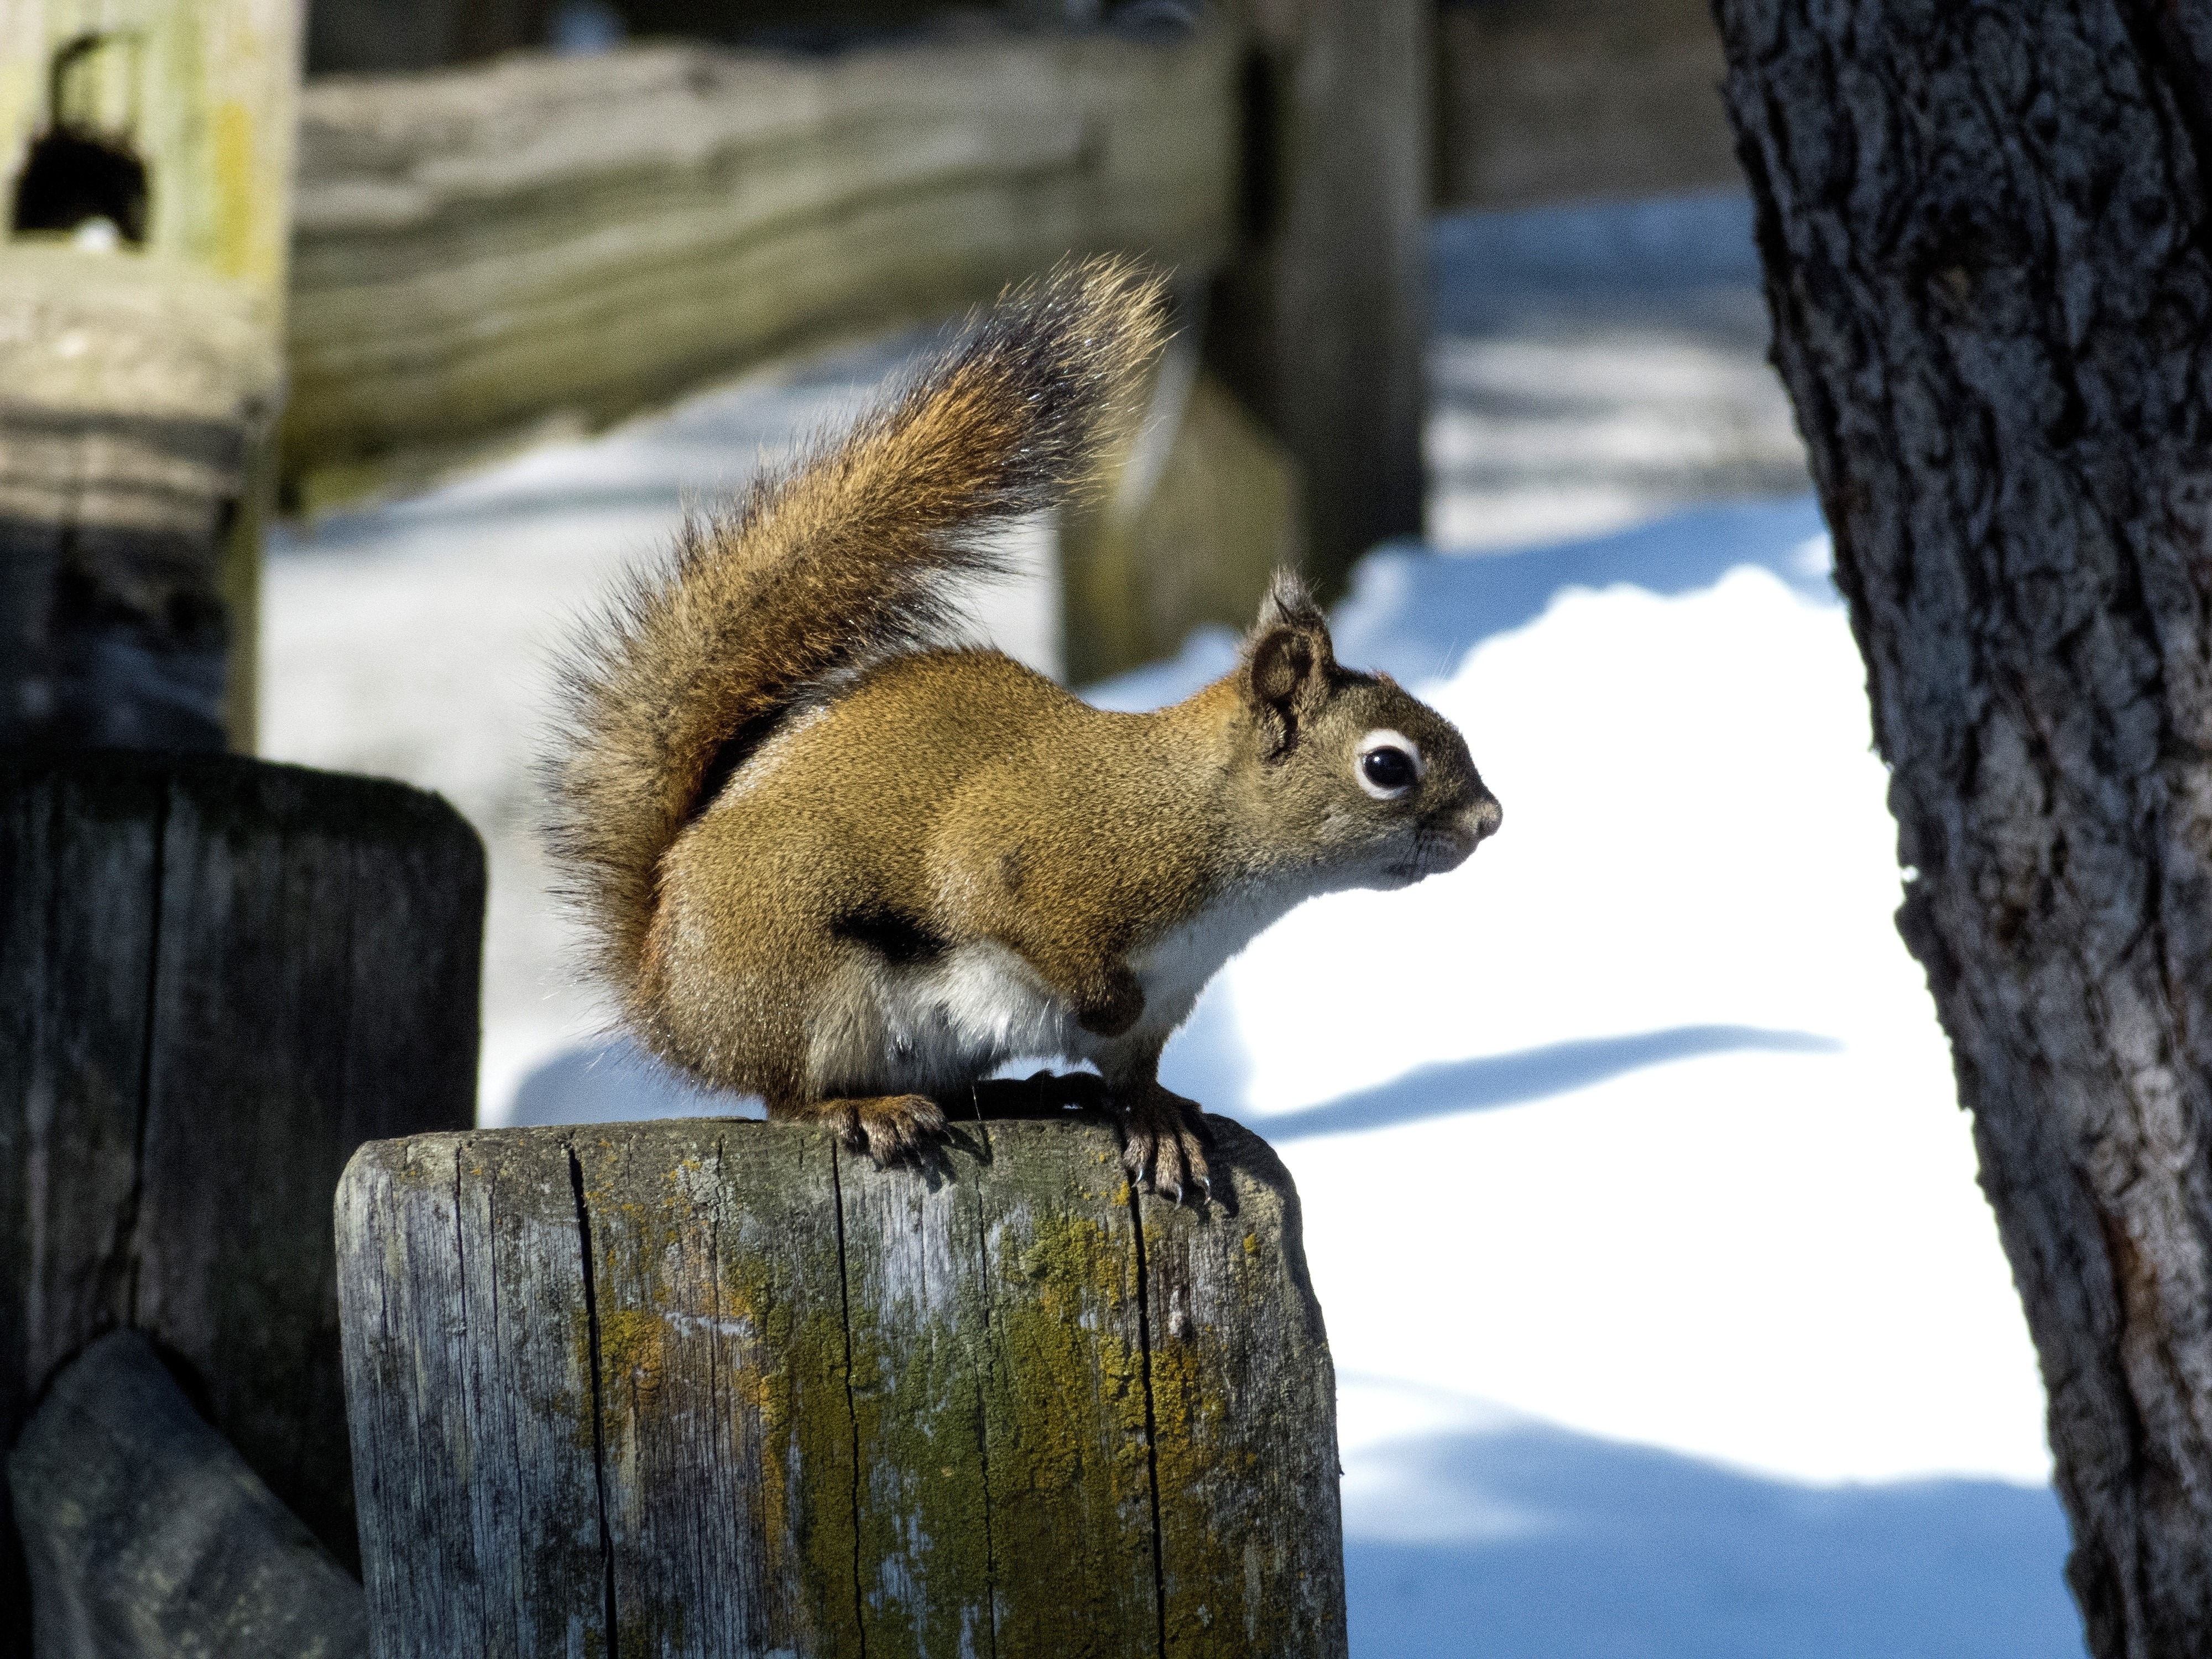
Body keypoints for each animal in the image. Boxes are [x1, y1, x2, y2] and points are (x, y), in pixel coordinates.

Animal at [545, 258, 1501, 1201]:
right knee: (788, 1095)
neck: (1207, 825)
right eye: (1388, 766)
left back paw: (1030, 1090)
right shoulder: (1034, 861)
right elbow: (1022, 923)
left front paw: (1159, 1121)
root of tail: (666, 993)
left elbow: (1136, 1074)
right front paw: (1103, 1012)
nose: (1490, 820)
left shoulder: (1170, 999)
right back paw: (866, 1110)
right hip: (803, 980)